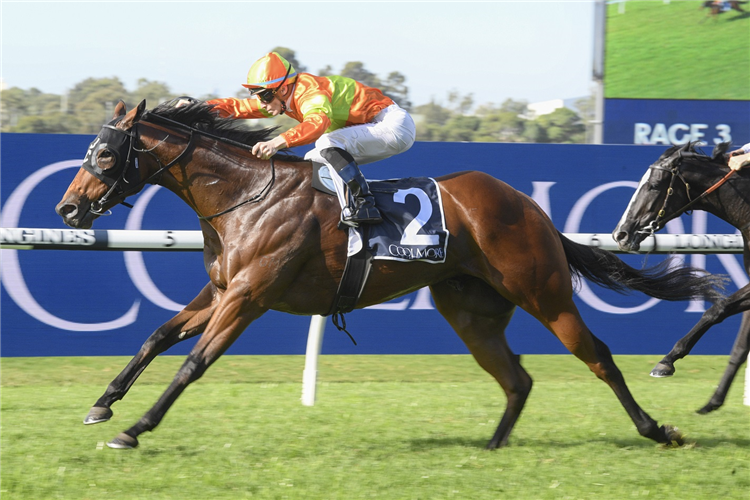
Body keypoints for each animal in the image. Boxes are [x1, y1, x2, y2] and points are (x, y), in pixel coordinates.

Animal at [55, 100, 724, 450]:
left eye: (106, 154)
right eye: (87, 151)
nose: (66, 209)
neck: (246, 195)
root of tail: (530, 207)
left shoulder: (249, 297)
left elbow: (193, 363)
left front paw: (134, 429)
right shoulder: (220, 290)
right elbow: (156, 337)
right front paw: (102, 406)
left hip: (543, 290)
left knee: (599, 356)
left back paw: (657, 429)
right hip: (470, 310)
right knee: (516, 378)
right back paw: (492, 446)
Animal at [612, 142, 748, 414]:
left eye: (654, 185)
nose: (620, 234)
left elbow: (717, 309)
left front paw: (666, 362)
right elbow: (739, 346)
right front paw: (712, 402)